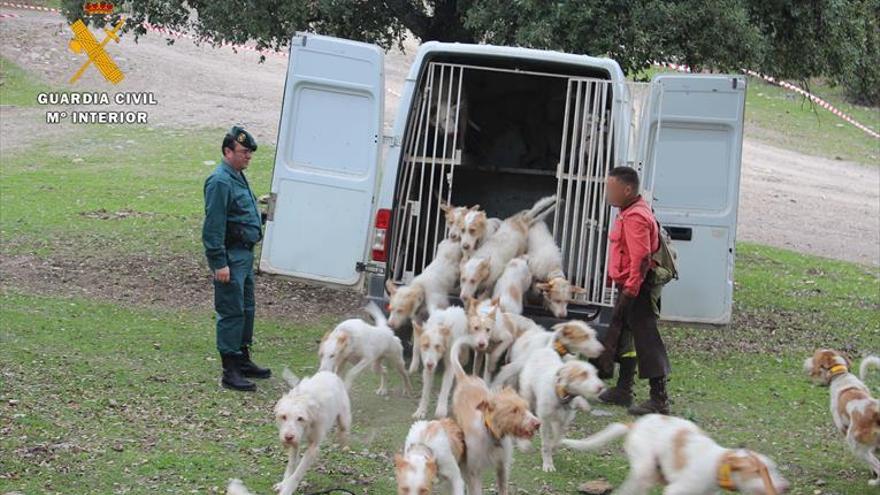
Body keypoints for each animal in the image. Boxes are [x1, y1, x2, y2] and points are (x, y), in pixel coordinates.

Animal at [564, 416, 792, 494]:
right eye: (758, 471)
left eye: (773, 469)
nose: (786, 487)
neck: (717, 465)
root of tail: (636, 423)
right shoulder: (676, 490)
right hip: (644, 467)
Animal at [804, 350, 880, 486]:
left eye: (813, 358)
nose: (805, 360)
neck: (841, 376)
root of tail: (875, 411)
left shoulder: (842, 427)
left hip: (856, 446)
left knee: (878, 465)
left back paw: (875, 482)